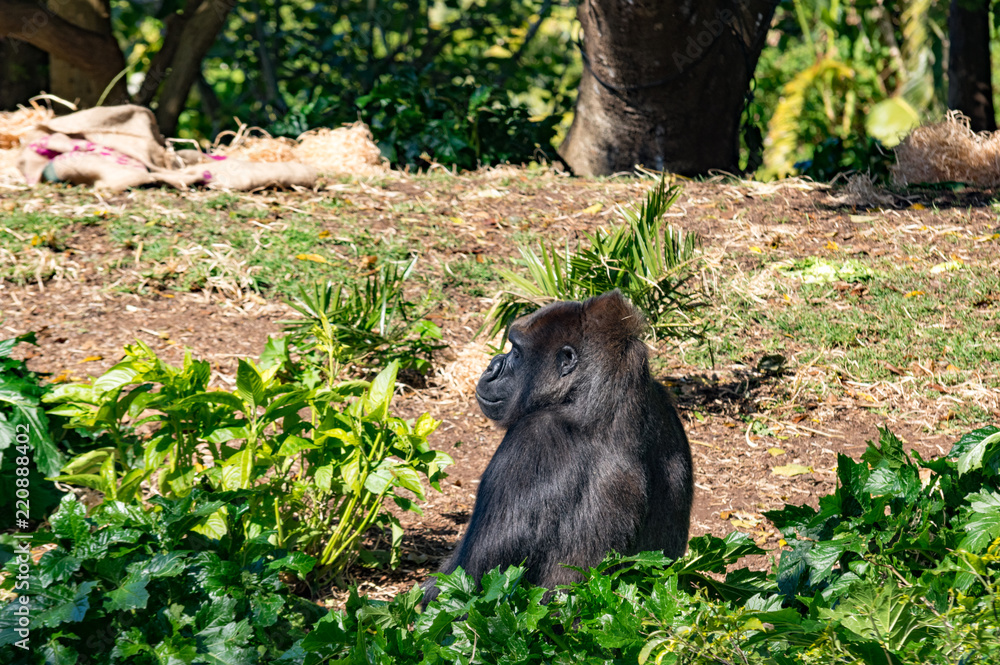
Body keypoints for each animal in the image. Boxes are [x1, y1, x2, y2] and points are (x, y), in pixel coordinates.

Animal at [423, 290, 693, 604]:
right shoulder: (665, 402)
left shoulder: (532, 436)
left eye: (516, 352)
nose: (492, 365)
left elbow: (467, 582)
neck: (595, 393)